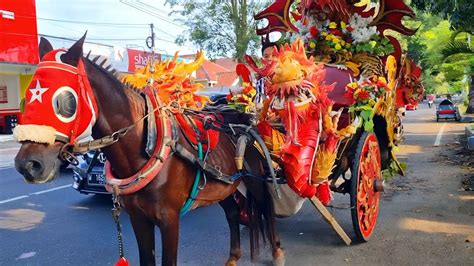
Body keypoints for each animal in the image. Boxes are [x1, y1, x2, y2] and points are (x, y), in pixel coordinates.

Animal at [12, 35, 284, 266]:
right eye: (27, 96)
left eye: (65, 101)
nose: (28, 165)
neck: (145, 147)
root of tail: (244, 118)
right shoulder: (138, 219)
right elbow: (146, 259)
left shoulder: (170, 220)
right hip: (223, 187)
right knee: (233, 214)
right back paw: (233, 257)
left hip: (255, 181)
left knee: (266, 211)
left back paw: (277, 251)